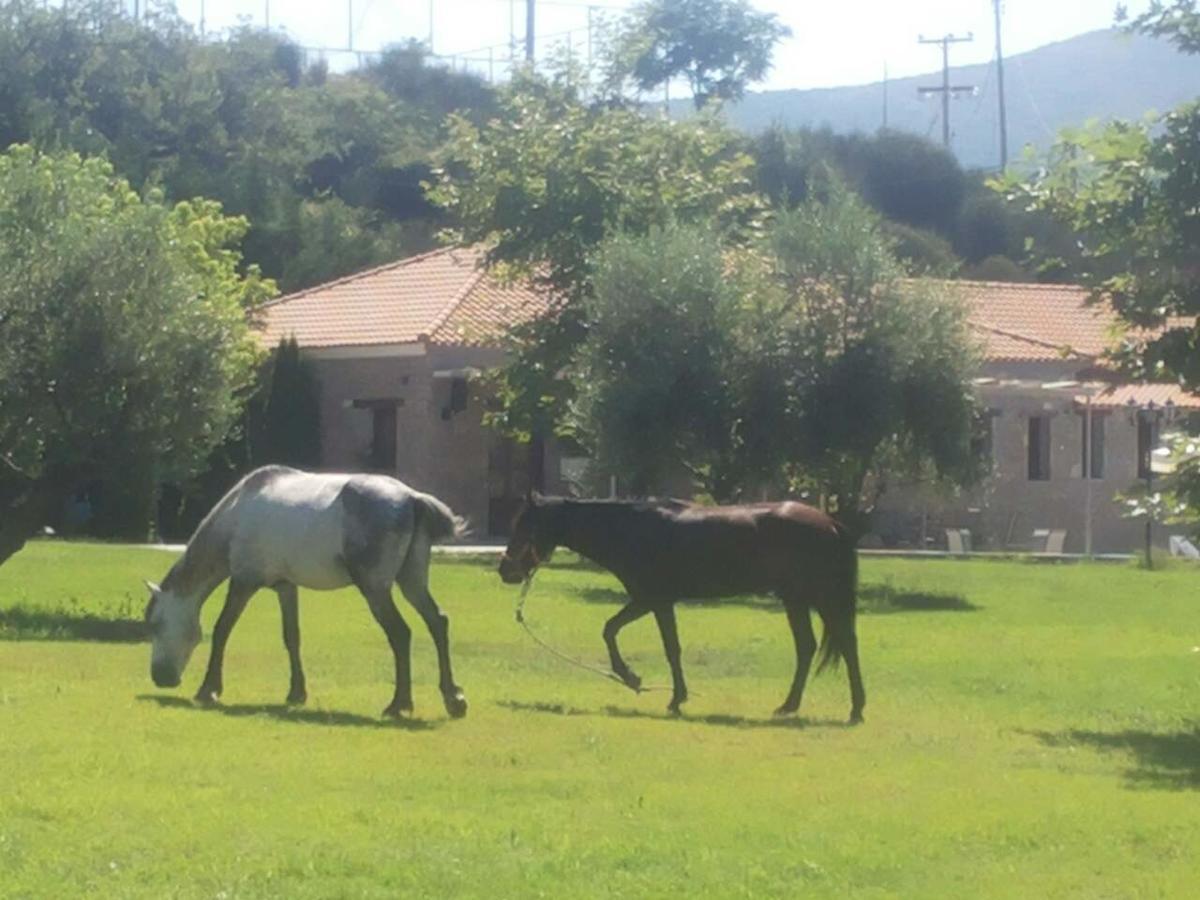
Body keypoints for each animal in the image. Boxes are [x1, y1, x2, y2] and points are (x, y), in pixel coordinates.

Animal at [144, 472, 468, 720]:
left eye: (156, 625)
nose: (160, 677)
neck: (236, 514)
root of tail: (412, 498)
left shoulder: (243, 582)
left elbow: (222, 630)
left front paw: (208, 689)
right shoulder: (286, 586)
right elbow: (292, 637)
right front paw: (296, 692)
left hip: (376, 589)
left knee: (401, 633)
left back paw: (398, 704)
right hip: (412, 582)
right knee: (438, 622)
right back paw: (454, 699)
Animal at [496, 496, 864, 729]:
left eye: (525, 527)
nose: (505, 570)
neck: (632, 531)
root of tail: (830, 522)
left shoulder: (653, 600)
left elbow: (648, 641)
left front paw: (645, 684)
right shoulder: (653, 601)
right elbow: (623, 633)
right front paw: (659, 689)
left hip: (820, 598)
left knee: (845, 644)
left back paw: (855, 709)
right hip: (796, 599)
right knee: (807, 647)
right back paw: (790, 706)